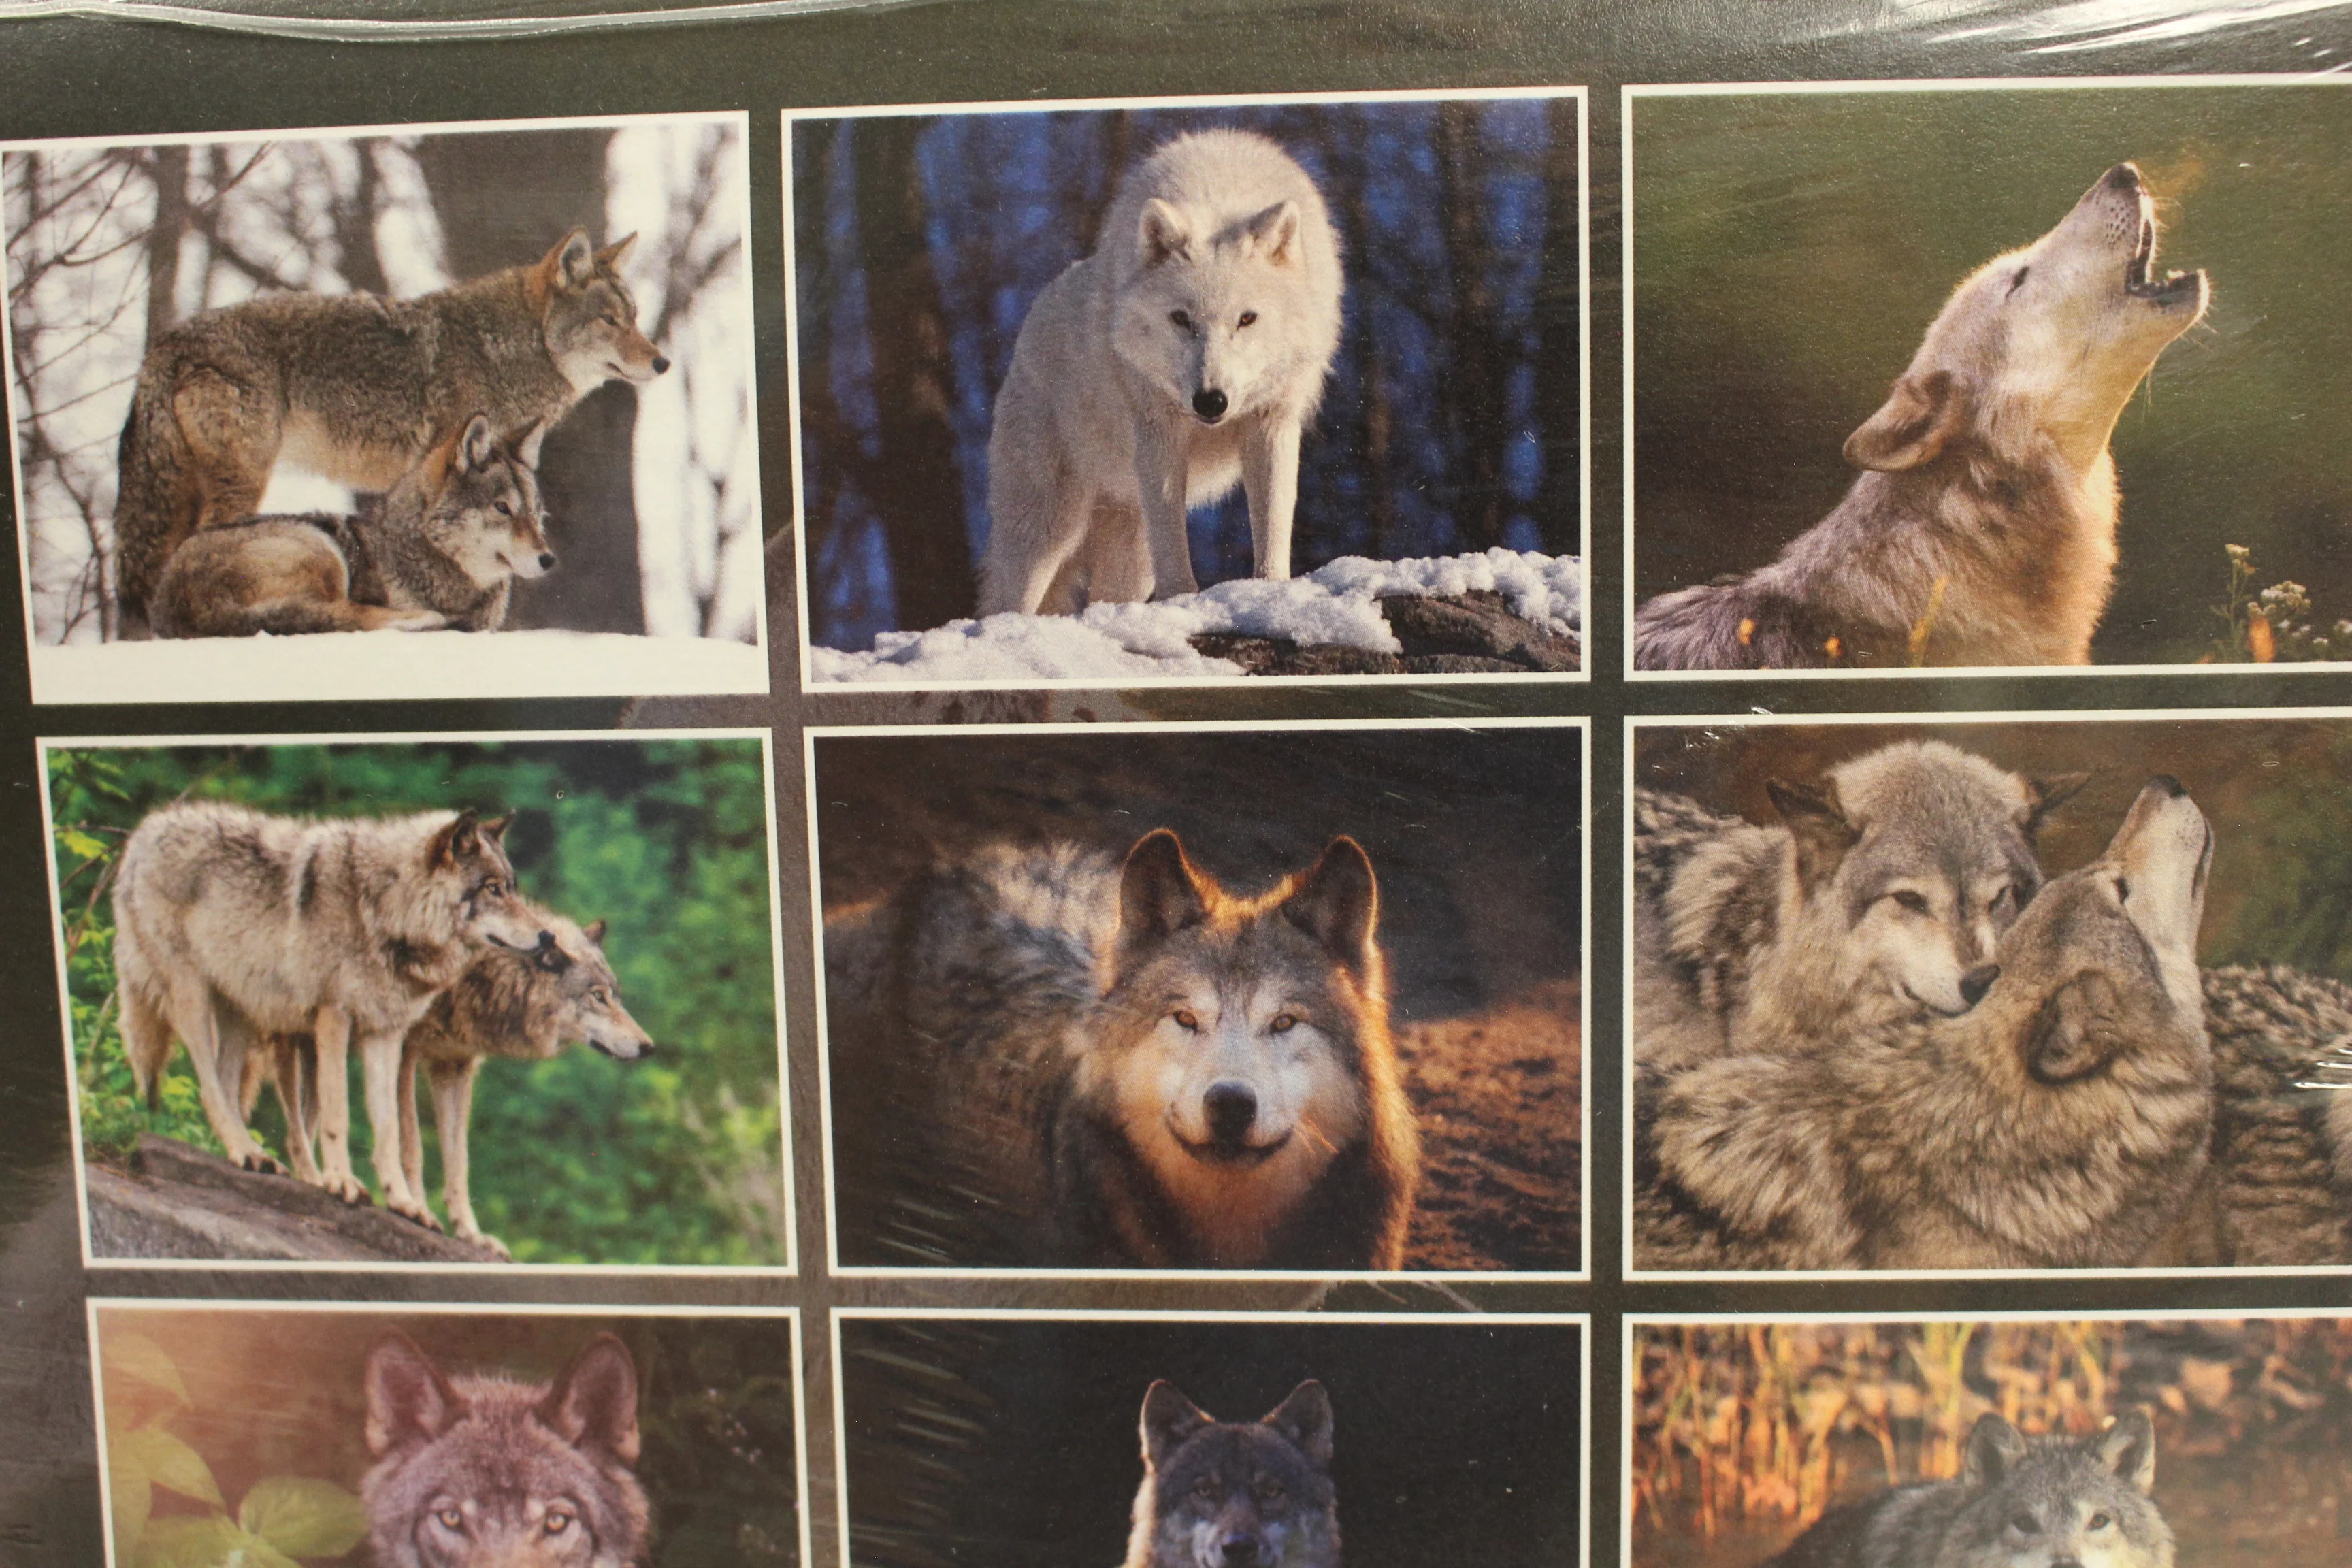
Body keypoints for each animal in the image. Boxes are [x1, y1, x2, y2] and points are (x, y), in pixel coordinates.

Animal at [113, 803, 548, 1222]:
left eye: (512, 888)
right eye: (492, 889)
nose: (547, 936)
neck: (382, 907)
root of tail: (145, 831)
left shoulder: (385, 1034)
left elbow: (388, 1128)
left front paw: (404, 1203)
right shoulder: (334, 1017)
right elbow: (338, 1113)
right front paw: (342, 1182)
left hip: (242, 1014)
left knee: (226, 1082)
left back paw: (254, 1154)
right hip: (191, 999)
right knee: (208, 1085)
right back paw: (245, 1150)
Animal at [243, 908, 653, 1256]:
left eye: (616, 996)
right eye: (597, 997)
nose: (649, 1046)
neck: (475, 975)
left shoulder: (455, 1067)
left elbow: (458, 1162)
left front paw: (472, 1235)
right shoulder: (405, 1052)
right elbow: (411, 1147)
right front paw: (416, 1208)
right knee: (289, 1120)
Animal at [977, 129, 1343, 617]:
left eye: (1246, 320)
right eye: (1181, 319)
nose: (1211, 400)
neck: (1219, 188)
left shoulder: (1273, 420)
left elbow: (1272, 520)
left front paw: (1271, 590)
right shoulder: (1158, 429)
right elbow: (1173, 539)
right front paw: (1182, 599)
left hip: (1128, 552)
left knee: (1106, 594)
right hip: (1046, 527)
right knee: (1007, 601)